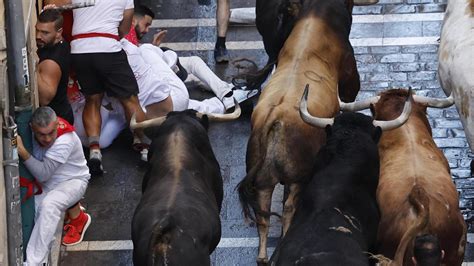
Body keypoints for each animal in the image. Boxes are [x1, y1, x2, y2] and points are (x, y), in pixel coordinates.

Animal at [237, 0, 360, 264]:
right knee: (288, 209)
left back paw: (263, 255)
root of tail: (274, 119)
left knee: (263, 216)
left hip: (263, 182)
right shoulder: (349, 75)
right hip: (297, 179)